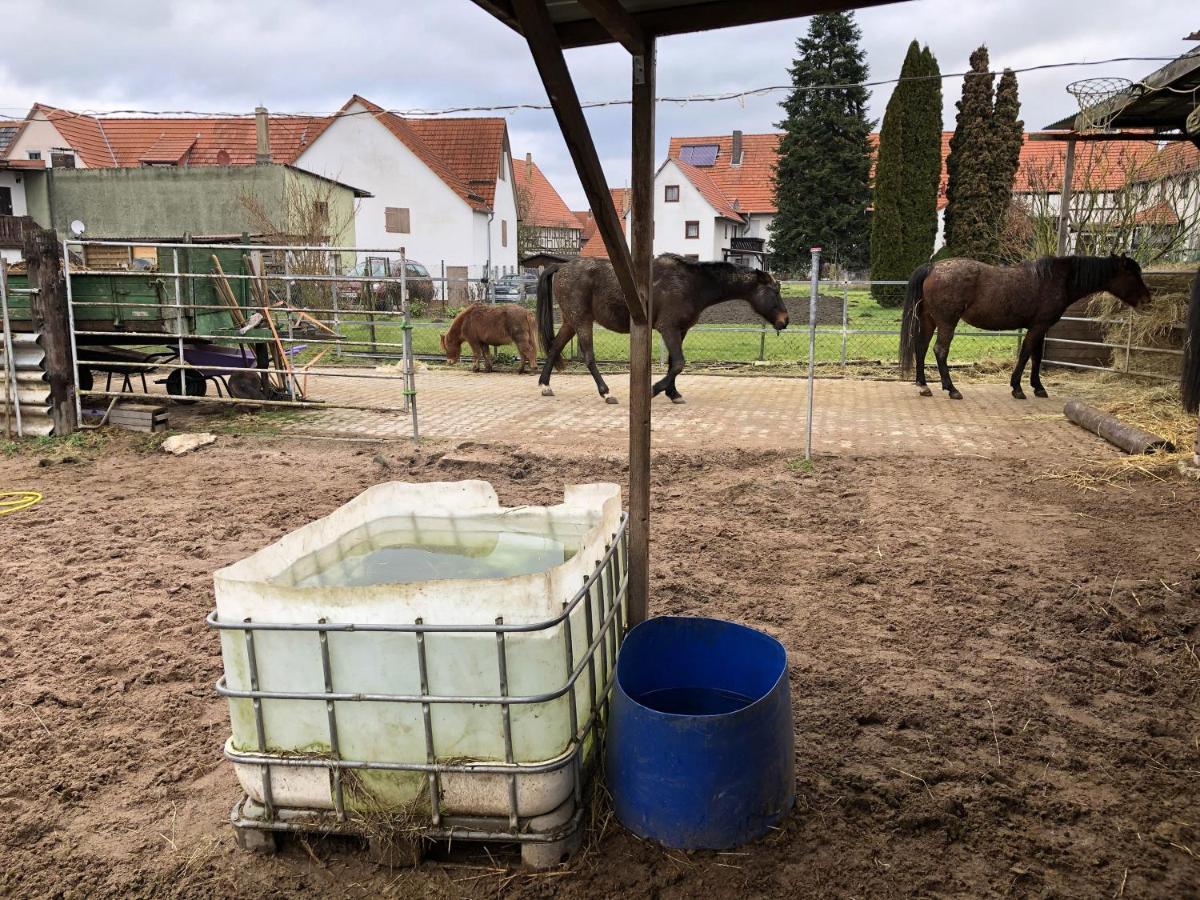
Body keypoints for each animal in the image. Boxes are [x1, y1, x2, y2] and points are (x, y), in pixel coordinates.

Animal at [537, 255, 787, 408]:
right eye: (774, 292)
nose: (785, 321)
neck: (691, 283)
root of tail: (562, 266)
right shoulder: (669, 329)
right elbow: (679, 363)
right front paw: (654, 389)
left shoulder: (680, 330)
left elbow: (672, 363)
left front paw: (673, 393)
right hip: (582, 321)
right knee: (588, 356)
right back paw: (606, 392)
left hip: (571, 322)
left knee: (555, 347)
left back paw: (545, 385)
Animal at [902, 255, 1147, 400]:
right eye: (1133, 274)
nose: (1148, 298)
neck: (1056, 279)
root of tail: (933, 267)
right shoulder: (1039, 326)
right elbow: (1026, 354)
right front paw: (1018, 388)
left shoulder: (1041, 328)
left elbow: (1036, 357)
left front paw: (1037, 386)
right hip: (947, 321)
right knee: (940, 350)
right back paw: (951, 389)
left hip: (929, 319)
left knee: (921, 348)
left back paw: (923, 385)